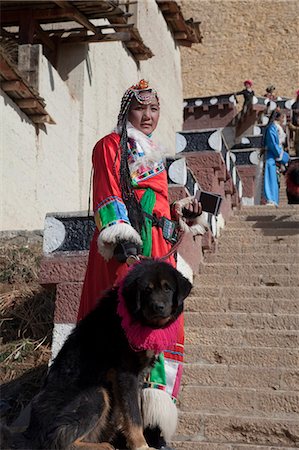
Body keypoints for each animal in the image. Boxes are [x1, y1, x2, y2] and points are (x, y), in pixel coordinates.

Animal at [3, 260, 192, 450]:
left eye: (167, 288)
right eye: (147, 290)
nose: (158, 307)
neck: (134, 316)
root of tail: (30, 435)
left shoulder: (137, 377)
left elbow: (131, 412)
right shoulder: (126, 373)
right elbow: (134, 416)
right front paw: (141, 445)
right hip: (96, 393)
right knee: (60, 441)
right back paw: (103, 446)